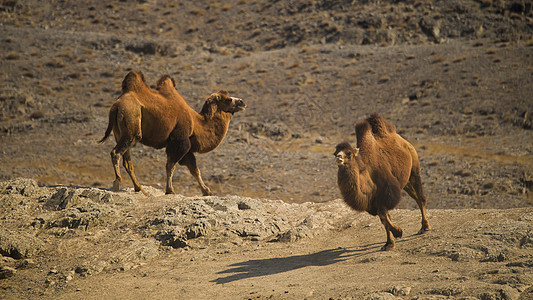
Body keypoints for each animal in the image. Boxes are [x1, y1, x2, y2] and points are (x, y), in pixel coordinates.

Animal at [99, 70, 245, 196]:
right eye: (228, 99)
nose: (242, 102)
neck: (197, 123)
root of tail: (116, 106)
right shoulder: (180, 140)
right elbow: (171, 165)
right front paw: (170, 190)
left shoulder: (187, 146)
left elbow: (194, 169)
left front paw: (207, 191)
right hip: (132, 123)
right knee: (116, 152)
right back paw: (117, 183)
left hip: (120, 132)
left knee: (127, 161)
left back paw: (139, 188)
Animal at [334, 113, 430, 251]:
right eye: (335, 153)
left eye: (349, 153)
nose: (338, 157)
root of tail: (404, 141)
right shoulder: (374, 201)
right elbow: (384, 218)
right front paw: (389, 242)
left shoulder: (385, 194)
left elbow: (383, 215)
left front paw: (398, 232)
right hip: (405, 181)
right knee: (416, 197)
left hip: (414, 169)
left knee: (421, 198)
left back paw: (425, 227)